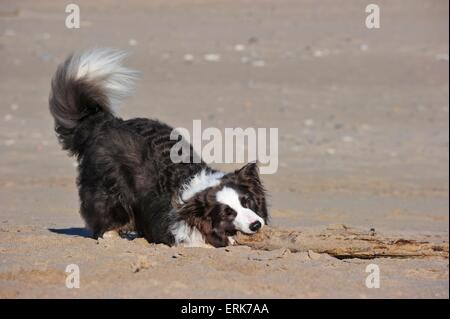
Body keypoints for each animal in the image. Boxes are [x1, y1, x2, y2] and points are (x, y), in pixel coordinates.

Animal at [49, 48, 268, 249]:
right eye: (228, 213)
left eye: (246, 202)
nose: (256, 225)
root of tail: (103, 122)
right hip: (108, 188)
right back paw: (112, 237)